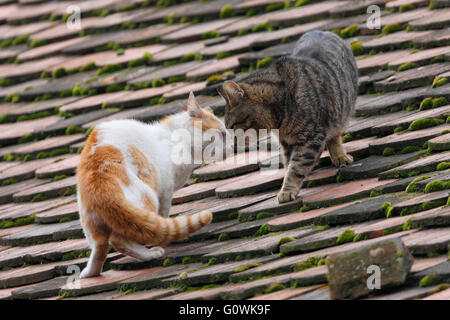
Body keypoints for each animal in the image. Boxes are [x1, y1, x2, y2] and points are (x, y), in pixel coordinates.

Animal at [76, 92, 229, 278]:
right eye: (222, 133)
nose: (231, 146)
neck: (176, 137)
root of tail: (99, 179)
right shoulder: (165, 191)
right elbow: (162, 218)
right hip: (147, 198)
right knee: (119, 239)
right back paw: (151, 253)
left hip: (90, 224)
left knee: (100, 247)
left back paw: (91, 272)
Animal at [219, 31, 358, 204]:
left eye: (232, 127)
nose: (233, 144)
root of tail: (322, 31)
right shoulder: (287, 143)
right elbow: (289, 164)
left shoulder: (310, 138)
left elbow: (296, 168)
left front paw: (287, 190)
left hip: (341, 112)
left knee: (335, 135)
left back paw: (340, 156)